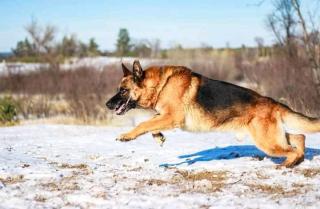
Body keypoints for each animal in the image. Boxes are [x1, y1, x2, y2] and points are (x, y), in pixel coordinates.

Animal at [107, 60, 320, 168]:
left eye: (123, 91)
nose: (107, 104)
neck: (160, 85)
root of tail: (271, 102)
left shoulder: (172, 117)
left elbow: (143, 123)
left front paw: (126, 136)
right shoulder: (165, 117)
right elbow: (150, 124)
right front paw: (158, 137)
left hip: (267, 142)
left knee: (293, 148)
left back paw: (286, 165)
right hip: (272, 137)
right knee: (300, 137)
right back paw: (297, 161)